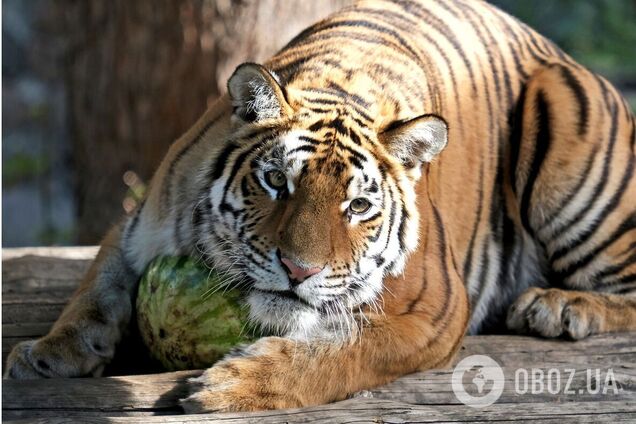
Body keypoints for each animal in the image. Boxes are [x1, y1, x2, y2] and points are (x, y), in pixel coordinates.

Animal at [6, 0, 636, 414]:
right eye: (275, 181)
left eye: (357, 206)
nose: (297, 270)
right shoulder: (137, 225)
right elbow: (94, 290)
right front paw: (47, 354)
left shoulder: (434, 311)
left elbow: (345, 353)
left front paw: (230, 388)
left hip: (569, 130)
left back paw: (560, 306)